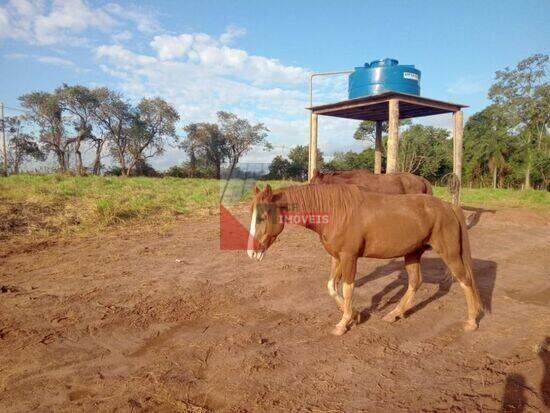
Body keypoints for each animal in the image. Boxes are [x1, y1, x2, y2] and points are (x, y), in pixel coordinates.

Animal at [247, 183, 484, 334]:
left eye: (263, 216)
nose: (251, 252)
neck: (337, 211)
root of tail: (449, 207)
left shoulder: (349, 258)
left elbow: (347, 288)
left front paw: (343, 323)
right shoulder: (337, 257)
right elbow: (331, 286)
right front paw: (355, 315)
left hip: (449, 253)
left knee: (465, 281)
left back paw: (471, 322)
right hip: (412, 253)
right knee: (415, 282)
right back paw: (394, 314)